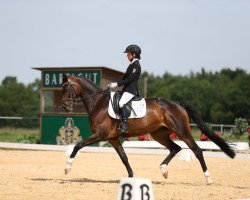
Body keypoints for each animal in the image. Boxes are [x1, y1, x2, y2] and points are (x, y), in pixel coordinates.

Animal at [61, 74, 235, 184]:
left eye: (66, 89)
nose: (64, 108)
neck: (98, 103)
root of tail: (178, 104)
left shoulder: (101, 135)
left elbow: (77, 145)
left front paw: (67, 168)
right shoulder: (112, 138)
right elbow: (124, 158)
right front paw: (132, 177)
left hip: (182, 131)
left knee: (197, 150)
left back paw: (208, 178)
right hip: (159, 134)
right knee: (175, 148)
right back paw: (164, 170)